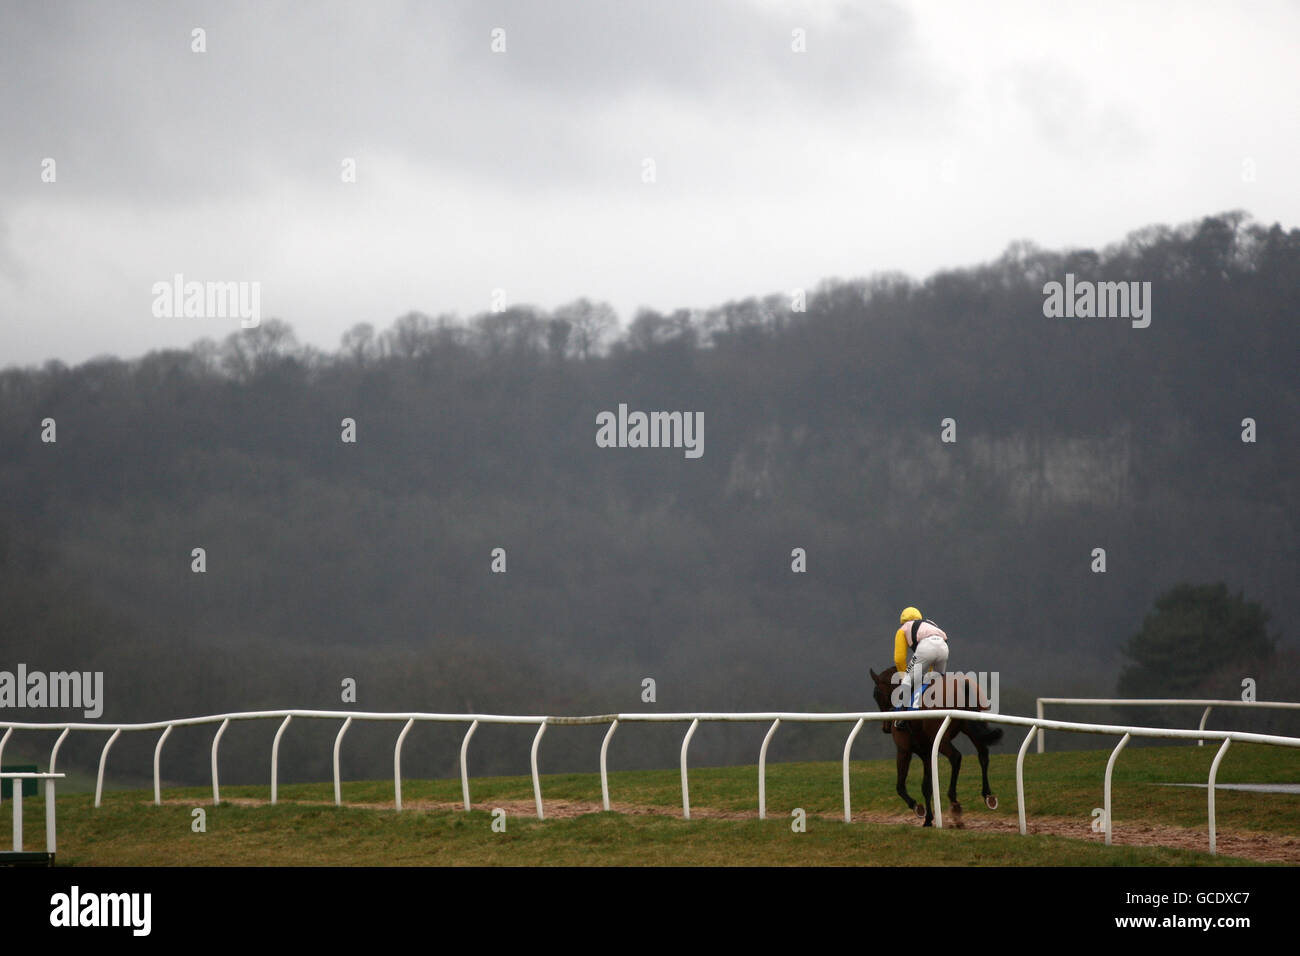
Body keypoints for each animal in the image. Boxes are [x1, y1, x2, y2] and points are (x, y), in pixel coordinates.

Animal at [873, 671, 1003, 827]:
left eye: (876, 695)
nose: (885, 727)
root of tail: (962, 684)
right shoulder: (926, 752)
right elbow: (926, 787)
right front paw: (928, 819)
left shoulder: (904, 750)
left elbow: (900, 786)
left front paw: (918, 808)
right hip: (971, 727)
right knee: (983, 754)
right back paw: (988, 796)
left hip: (941, 736)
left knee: (955, 757)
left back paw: (954, 803)